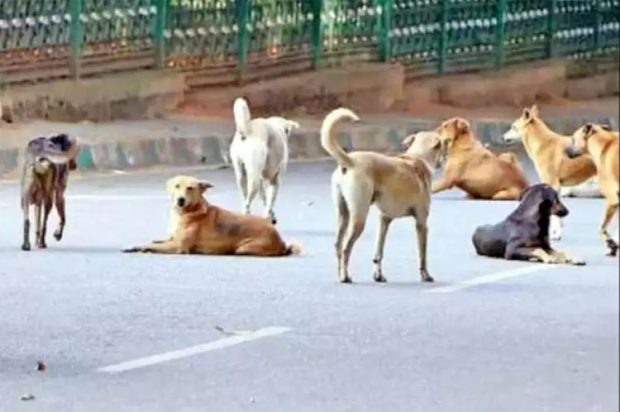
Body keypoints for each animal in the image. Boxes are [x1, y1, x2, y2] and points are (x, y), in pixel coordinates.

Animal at [123, 175, 300, 258]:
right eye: (177, 186)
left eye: (190, 188)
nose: (180, 199)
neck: (190, 211)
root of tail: (281, 241)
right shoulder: (170, 239)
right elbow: (153, 242)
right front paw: (138, 247)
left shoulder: (178, 246)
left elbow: (154, 245)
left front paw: (143, 248)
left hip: (244, 248)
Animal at [231, 97, 302, 225]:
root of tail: (248, 129)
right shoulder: (275, 179)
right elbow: (270, 201)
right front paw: (269, 216)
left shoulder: (263, 179)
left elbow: (265, 199)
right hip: (253, 178)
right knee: (248, 203)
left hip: (241, 175)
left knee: (245, 198)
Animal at [322, 108, 434, 284]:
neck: (416, 159)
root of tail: (350, 160)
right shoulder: (421, 223)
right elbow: (422, 255)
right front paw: (425, 275)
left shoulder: (384, 220)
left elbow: (378, 252)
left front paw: (378, 275)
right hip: (359, 218)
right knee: (346, 247)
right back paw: (345, 276)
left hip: (343, 214)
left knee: (338, 245)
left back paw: (340, 273)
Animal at [504, 106, 600, 240]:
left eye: (513, 127)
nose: (503, 136)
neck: (543, 144)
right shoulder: (557, 187)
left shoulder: (552, 184)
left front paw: (555, 235)